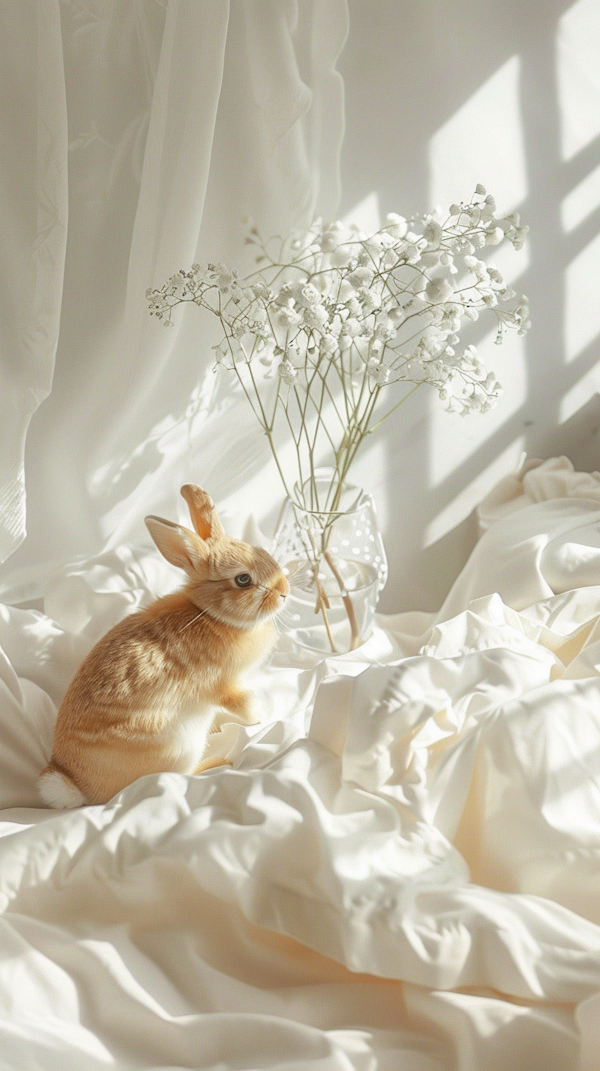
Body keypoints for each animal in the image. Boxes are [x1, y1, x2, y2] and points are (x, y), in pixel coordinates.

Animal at [37, 484, 291, 805]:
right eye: (243, 579)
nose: (285, 592)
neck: (208, 614)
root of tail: (75, 786)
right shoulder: (222, 684)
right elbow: (242, 704)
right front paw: (260, 717)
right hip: (180, 746)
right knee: (180, 775)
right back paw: (218, 763)